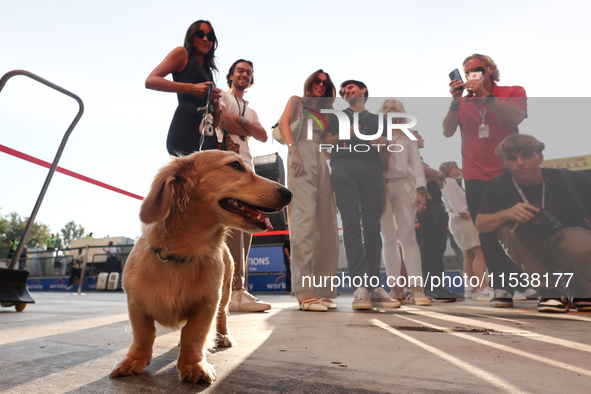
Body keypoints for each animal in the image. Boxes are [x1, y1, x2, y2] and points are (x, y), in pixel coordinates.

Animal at [110, 150, 292, 382]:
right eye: (235, 165)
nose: (289, 193)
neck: (183, 254)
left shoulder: (207, 304)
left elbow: (194, 334)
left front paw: (194, 365)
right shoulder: (136, 304)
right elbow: (143, 335)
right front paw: (134, 361)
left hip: (225, 294)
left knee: (222, 317)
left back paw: (223, 336)